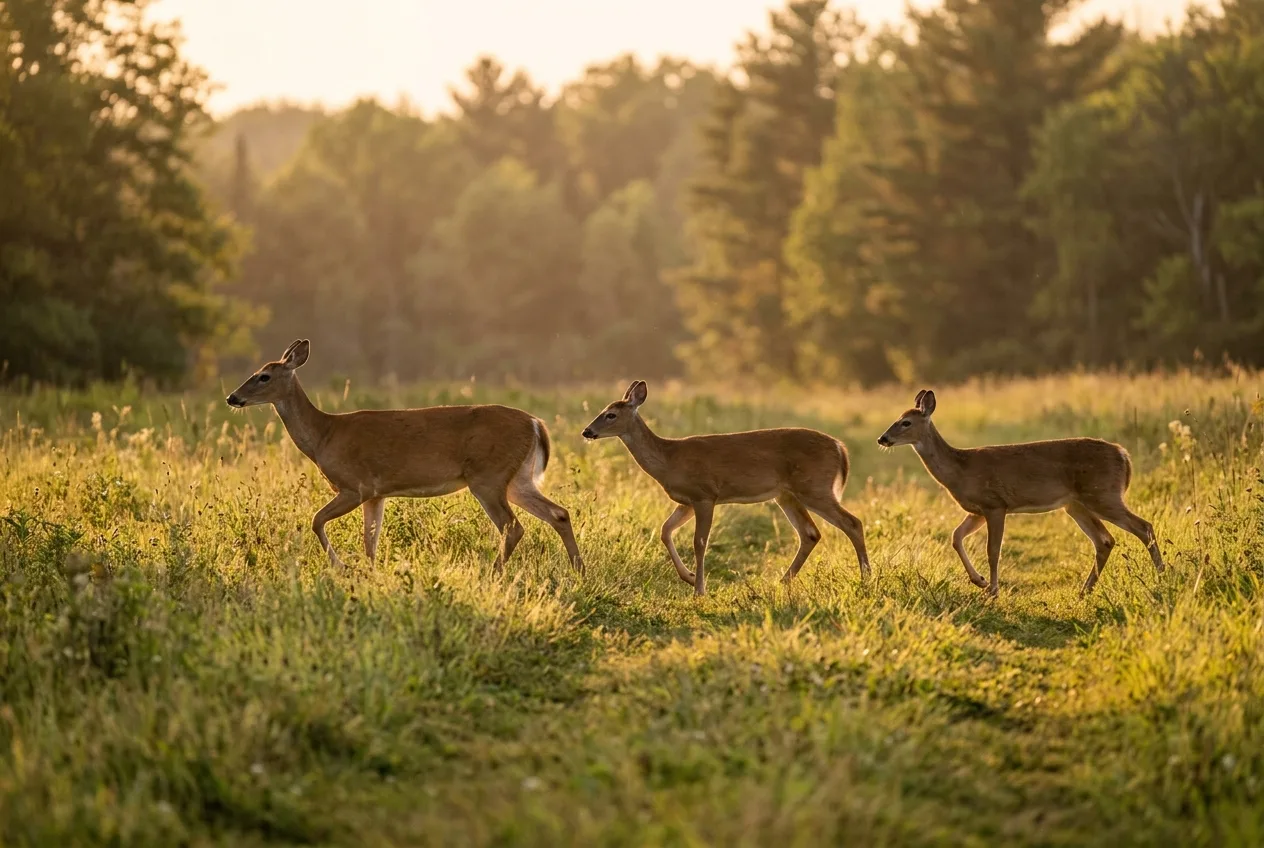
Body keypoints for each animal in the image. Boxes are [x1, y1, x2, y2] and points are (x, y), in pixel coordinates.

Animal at [225, 340, 584, 573]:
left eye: (264, 376)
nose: (232, 397)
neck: (324, 435)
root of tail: (536, 424)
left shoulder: (355, 486)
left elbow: (316, 520)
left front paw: (342, 565)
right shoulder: (376, 494)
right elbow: (370, 540)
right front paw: (368, 573)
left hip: (488, 477)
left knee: (513, 527)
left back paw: (494, 572)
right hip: (517, 478)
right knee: (558, 513)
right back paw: (577, 570)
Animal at [580, 381, 870, 596]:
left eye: (611, 414)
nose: (586, 431)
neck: (669, 459)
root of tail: (840, 448)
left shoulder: (705, 495)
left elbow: (699, 542)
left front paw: (699, 590)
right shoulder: (686, 500)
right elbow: (664, 531)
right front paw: (689, 577)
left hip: (815, 487)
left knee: (852, 522)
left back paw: (866, 578)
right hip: (787, 495)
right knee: (810, 533)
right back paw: (782, 582)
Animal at [877, 389, 1164, 597]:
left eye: (906, 422)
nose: (883, 439)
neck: (960, 469)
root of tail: (1124, 456)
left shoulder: (995, 504)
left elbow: (993, 550)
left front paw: (992, 591)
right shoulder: (977, 510)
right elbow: (956, 537)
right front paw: (980, 581)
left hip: (1103, 494)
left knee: (1143, 526)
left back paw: (1162, 576)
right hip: (1076, 504)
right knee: (1105, 541)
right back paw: (1085, 590)